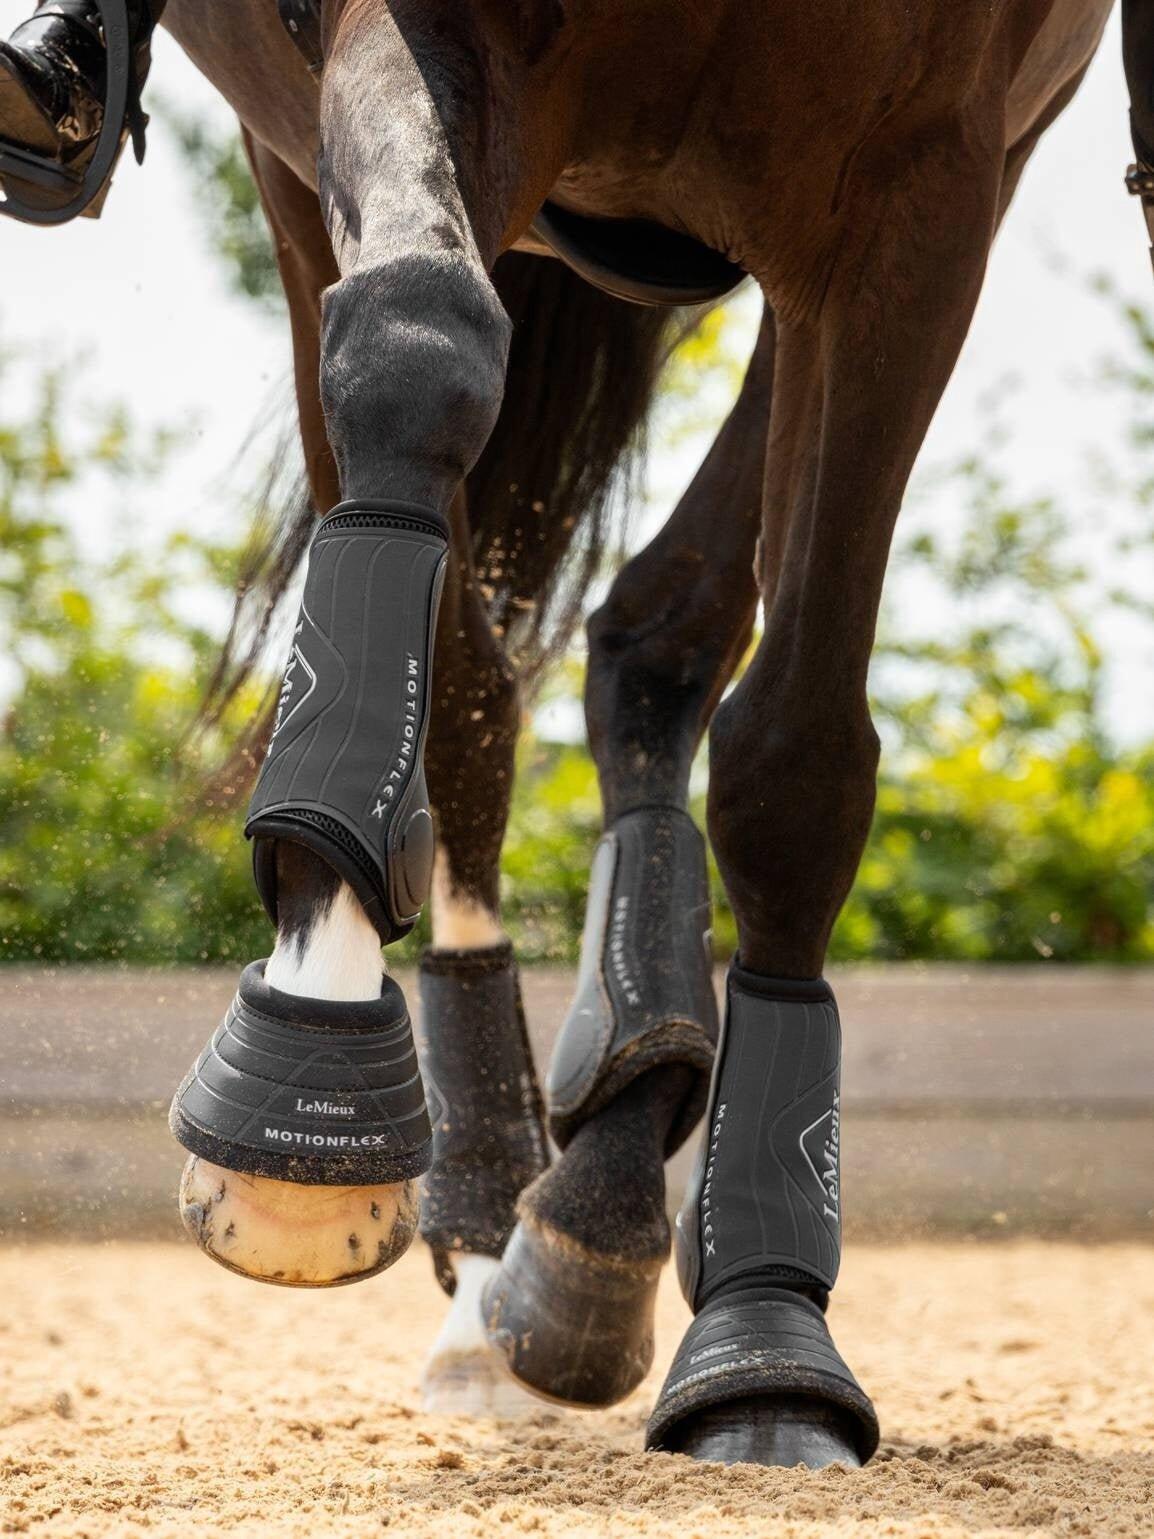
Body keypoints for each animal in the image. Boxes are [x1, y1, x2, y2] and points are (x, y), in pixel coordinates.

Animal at [159, 0, 1115, 1470]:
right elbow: (417, 345)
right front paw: (301, 1094)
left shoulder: (923, 180)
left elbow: (793, 751)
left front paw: (764, 1338)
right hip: (303, 163)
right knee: (472, 645)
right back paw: (489, 1202)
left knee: (657, 635)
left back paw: (600, 1177)